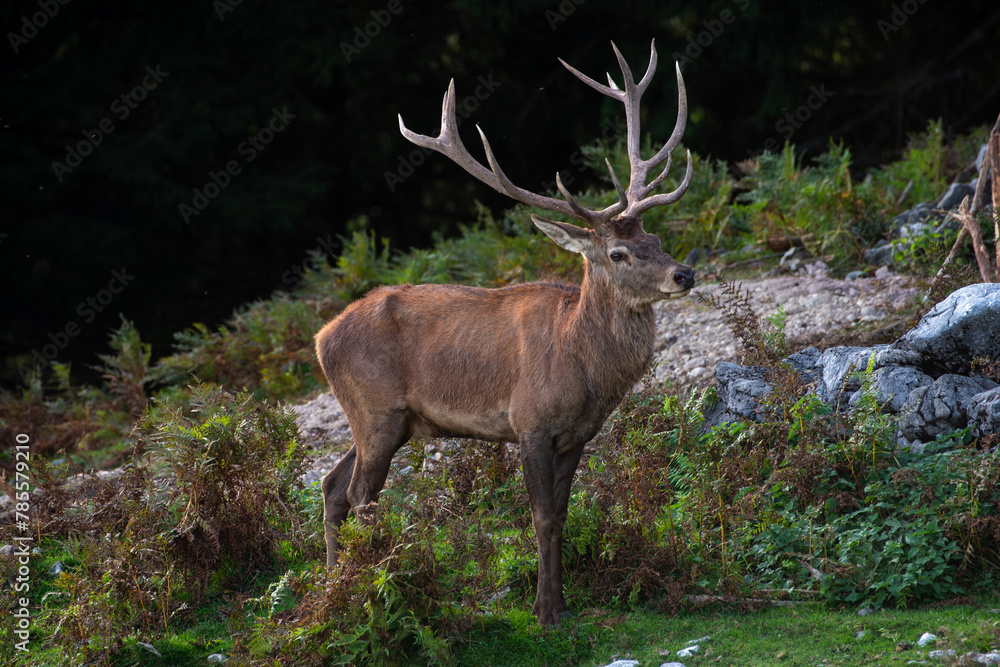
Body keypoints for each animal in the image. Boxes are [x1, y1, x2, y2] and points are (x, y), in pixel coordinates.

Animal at [315, 39, 695, 626]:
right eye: (618, 253)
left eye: (655, 238)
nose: (685, 274)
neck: (583, 368)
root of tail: (320, 338)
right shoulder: (529, 421)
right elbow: (540, 517)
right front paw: (545, 612)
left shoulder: (577, 435)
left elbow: (562, 515)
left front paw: (561, 602)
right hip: (375, 409)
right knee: (361, 496)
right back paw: (374, 589)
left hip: (381, 420)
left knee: (332, 487)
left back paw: (334, 590)